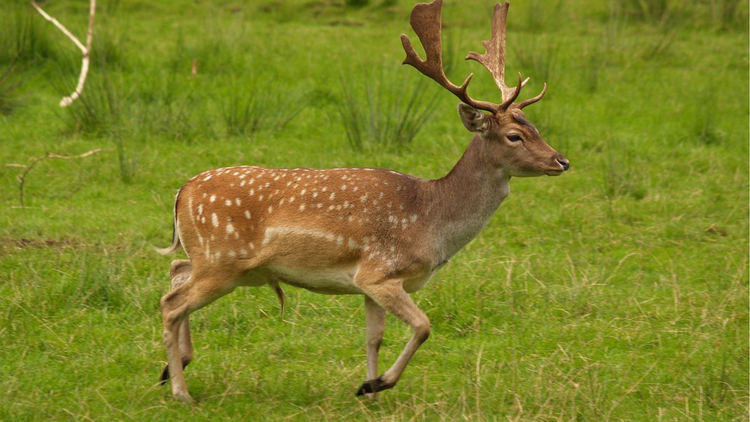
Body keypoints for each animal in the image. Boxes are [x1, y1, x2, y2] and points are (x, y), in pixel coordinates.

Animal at [159, 0, 568, 402]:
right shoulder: (380, 271)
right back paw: (181, 391)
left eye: (535, 126)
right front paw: (377, 384)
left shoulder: (370, 284)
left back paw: (172, 368)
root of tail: (182, 192)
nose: (561, 160)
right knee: (171, 304)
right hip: (221, 261)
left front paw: (369, 393)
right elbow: (423, 326)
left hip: (218, 261)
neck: (431, 221)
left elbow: (374, 338)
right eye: (514, 135)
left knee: (176, 270)